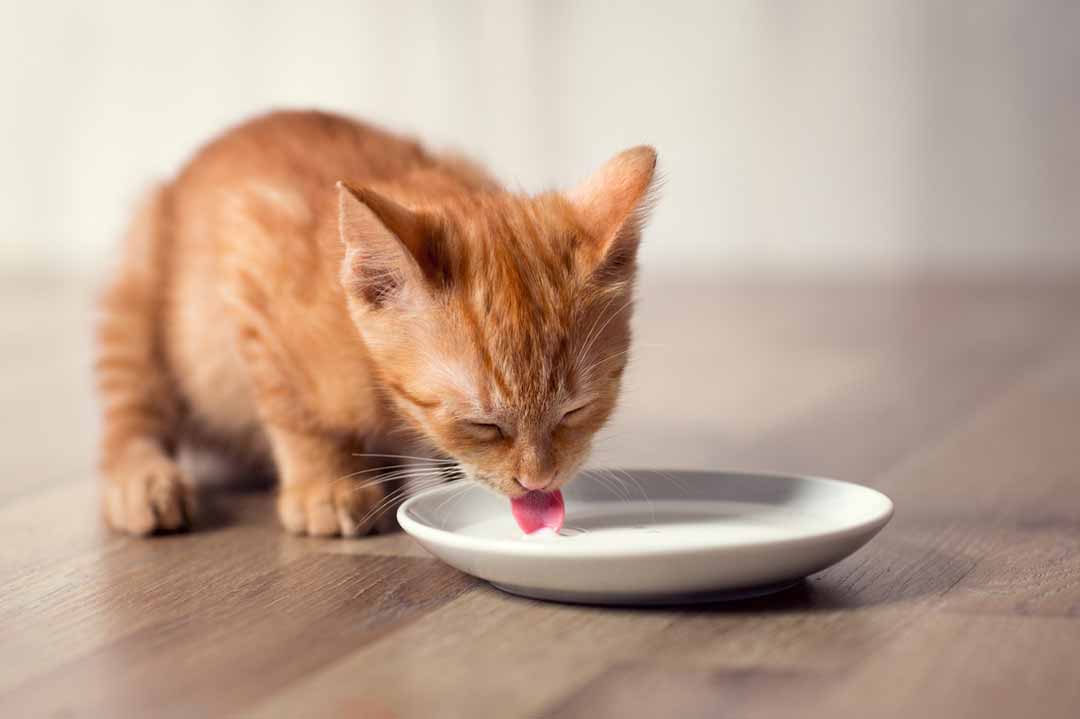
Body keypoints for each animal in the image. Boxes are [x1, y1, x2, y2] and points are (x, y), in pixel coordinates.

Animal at [97, 109, 656, 535]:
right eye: (482, 424)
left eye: (577, 410)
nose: (539, 481)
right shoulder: (251, 258)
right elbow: (293, 411)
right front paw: (323, 484)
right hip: (139, 283)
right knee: (130, 409)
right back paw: (142, 482)